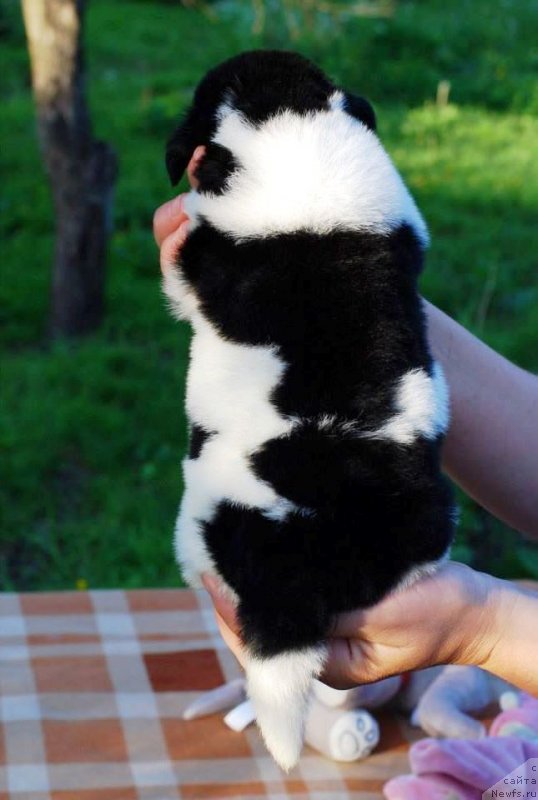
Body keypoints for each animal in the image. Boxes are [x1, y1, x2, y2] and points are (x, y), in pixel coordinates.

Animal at [164, 48, 456, 768]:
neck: (294, 121)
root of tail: (299, 557)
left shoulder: (201, 258)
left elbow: (187, 261)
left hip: (200, 523)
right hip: (429, 520)